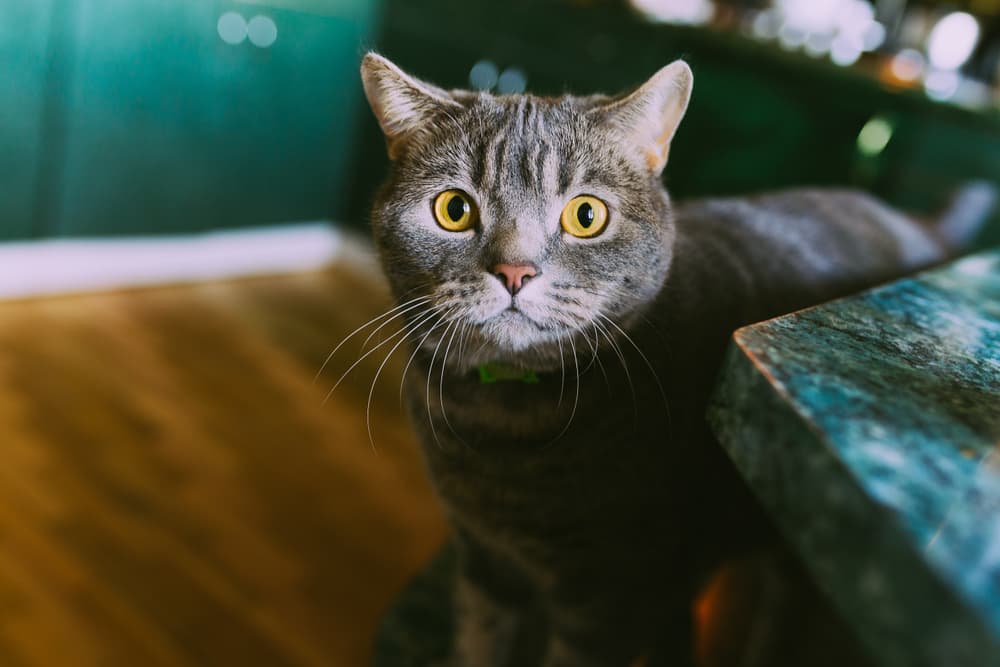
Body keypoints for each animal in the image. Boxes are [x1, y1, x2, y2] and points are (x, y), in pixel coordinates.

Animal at [358, 53, 984, 667]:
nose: (516, 271)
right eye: (453, 209)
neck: (501, 430)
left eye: (586, 216)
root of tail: (915, 221)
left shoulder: (608, 601)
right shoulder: (485, 563)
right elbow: (479, 642)